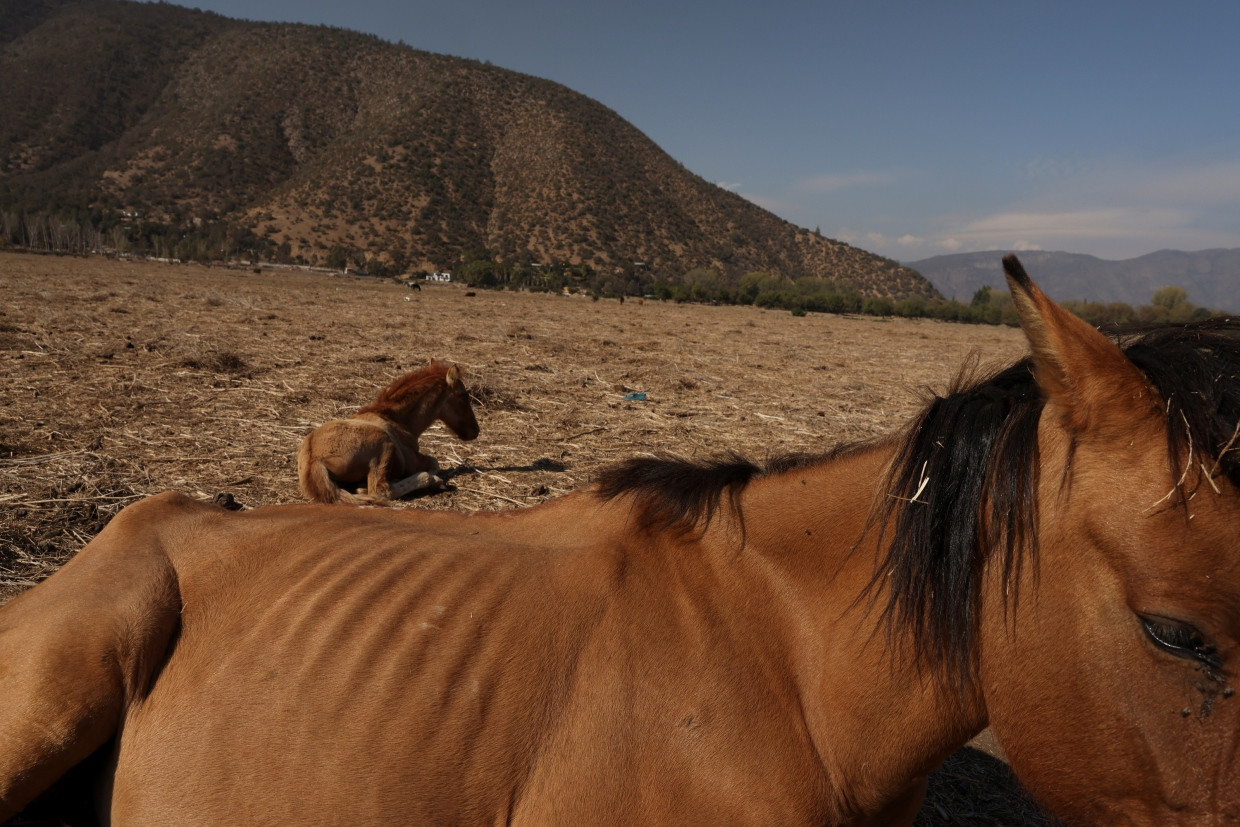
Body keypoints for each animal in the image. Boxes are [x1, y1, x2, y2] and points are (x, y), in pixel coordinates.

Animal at [295, 359, 478, 505]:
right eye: (464, 395)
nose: (475, 430)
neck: (394, 419)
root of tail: (313, 461)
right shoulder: (411, 460)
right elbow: (434, 463)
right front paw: (435, 479)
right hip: (384, 444)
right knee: (381, 491)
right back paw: (431, 480)